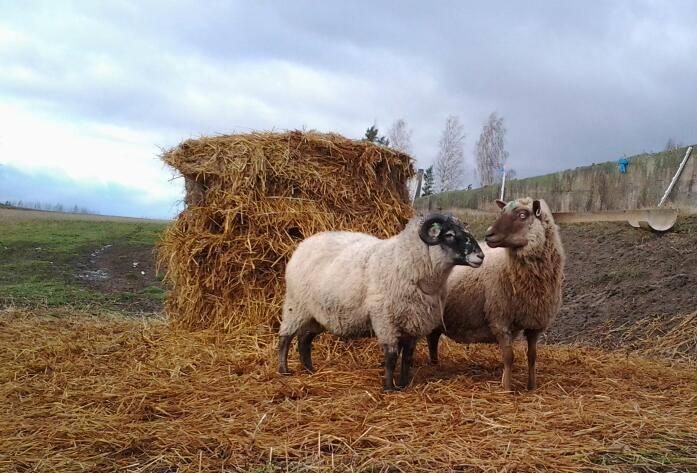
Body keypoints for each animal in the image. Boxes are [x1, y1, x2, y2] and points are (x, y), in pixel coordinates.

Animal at [278, 212, 484, 390]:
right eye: (449, 234)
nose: (480, 256)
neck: (403, 262)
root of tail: (304, 244)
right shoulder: (386, 320)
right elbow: (391, 356)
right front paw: (389, 387)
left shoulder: (414, 322)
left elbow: (407, 357)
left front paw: (403, 384)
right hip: (295, 305)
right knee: (285, 337)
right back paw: (284, 370)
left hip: (318, 314)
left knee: (304, 339)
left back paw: (309, 370)